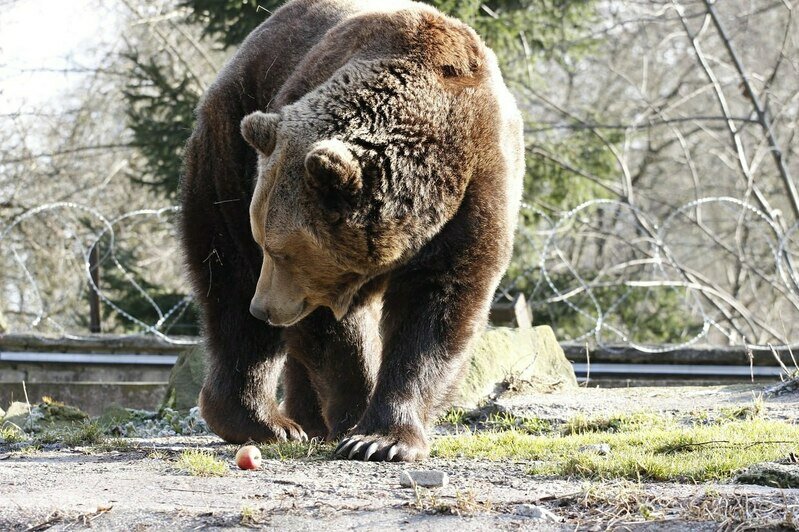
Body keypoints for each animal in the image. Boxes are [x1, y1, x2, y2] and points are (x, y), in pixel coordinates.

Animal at [183, 0, 524, 462]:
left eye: (282, 250)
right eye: (265, 243)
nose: (265, 307)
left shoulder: (477, 192)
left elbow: (439, 310)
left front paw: (382, 439)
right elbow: (330, 329)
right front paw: (357, 416)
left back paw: (303, 417)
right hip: (230, 148)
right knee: (227, 278)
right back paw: (267, 422)